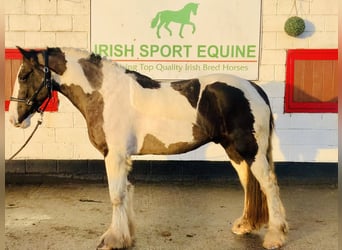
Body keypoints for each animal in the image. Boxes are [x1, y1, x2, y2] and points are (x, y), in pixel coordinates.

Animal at [8, 47, 288, 250]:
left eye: (23, 76)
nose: (13, 119)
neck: (106, 94)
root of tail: (255, 88)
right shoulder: (122, 157)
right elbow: (126, 193)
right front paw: (126, 235)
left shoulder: (114, 156)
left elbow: (116, 195)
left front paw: (113, 240)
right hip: (235, 152)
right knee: (249, 183)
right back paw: (245, 225)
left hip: (251, 151)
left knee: (269, 185)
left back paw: (275, 236)